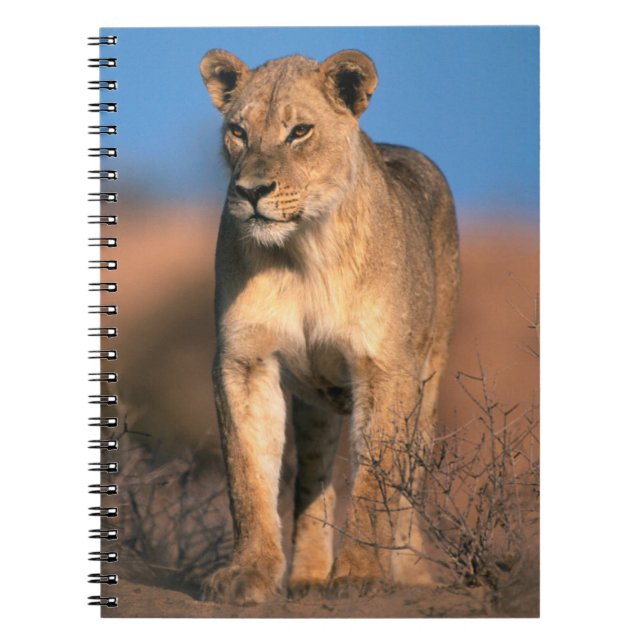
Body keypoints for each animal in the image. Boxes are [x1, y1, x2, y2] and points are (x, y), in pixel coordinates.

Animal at [199, 48, 460, 604]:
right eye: (238, 131)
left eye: (299, 131)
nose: (251, 191)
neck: (303, 252)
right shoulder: (244, 360)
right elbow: (247, 473)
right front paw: (249, 572)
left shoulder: (386, 368)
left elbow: (377, 480)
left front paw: (361, 574)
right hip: (316, 405)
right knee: (313, 479)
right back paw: (308, 577)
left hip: (428, 377)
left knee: (410, 478)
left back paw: (408, 573)